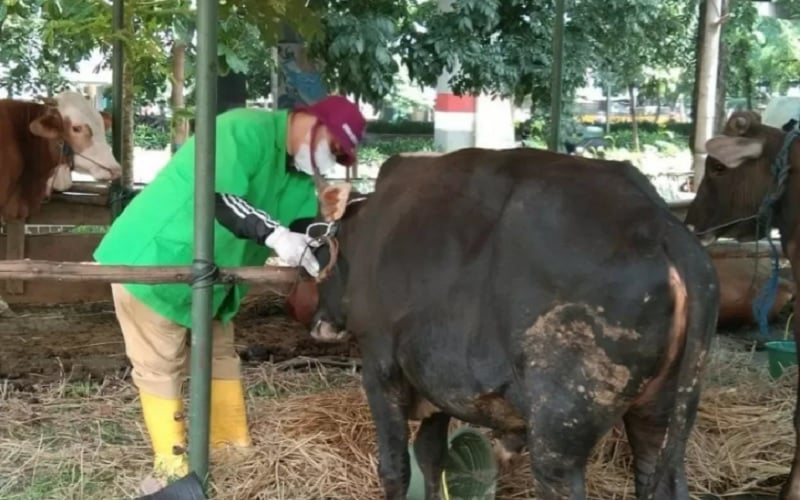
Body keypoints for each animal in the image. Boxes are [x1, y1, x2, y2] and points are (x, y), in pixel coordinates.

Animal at [300, 148, 720, 500]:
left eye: (318, 253)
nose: (319, 324)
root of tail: (661, 226)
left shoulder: (380, 364)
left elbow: (395, 466)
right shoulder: (437, 380)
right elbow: (431, 456)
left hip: (559, 432)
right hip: (659, 413)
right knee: (661, 478)